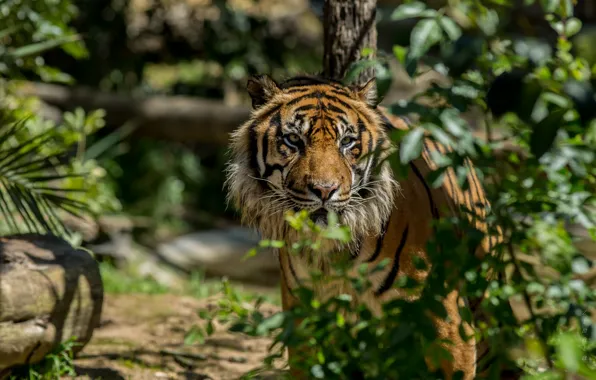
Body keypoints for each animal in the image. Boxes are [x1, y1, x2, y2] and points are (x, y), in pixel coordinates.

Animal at [226, 75, 510, 380]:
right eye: (293, 140)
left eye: (347, 142)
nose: (324, 190)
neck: (331, 251)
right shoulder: (305, 316)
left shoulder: (446, 322)